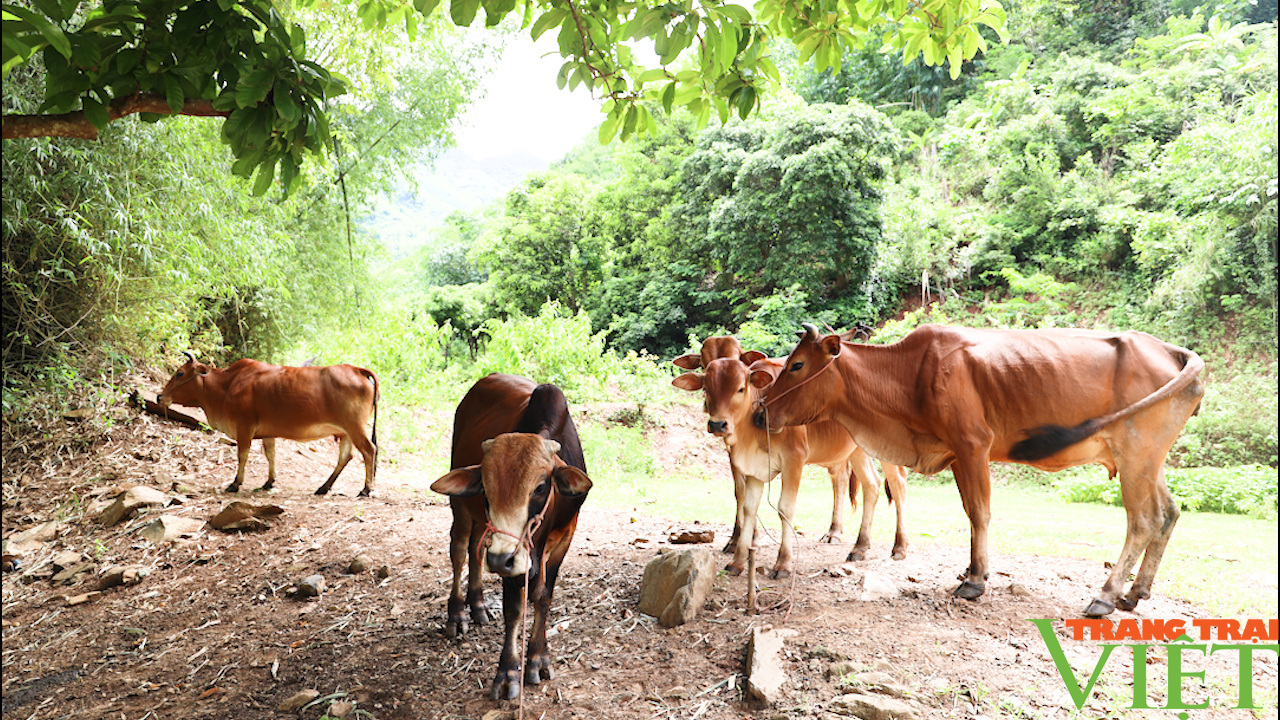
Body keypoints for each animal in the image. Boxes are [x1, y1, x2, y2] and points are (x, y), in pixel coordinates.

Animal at [156, 351, 376, 491]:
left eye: (180, 373)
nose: (159, 397)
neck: (227, 385)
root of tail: (357, 370)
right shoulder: (268, 433)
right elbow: (271, 455)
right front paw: (269, 481)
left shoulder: (244, 427)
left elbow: (243, 455)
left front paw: (235, 483)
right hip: (346, 432)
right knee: (346, 456)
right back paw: (324, 487)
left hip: (355, 428)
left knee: (369, 450)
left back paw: (366, 488)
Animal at [427, 371, 591, 696]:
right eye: (486, 489)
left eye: (540, 487)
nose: (500, 559)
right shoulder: (513, 562)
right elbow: (514, 609)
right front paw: (508, 672)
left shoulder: (565, 537)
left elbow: (544, 598)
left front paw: (538, 658)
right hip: (461, 508)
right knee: (460, 549)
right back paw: (458, 614)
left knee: (476, 549)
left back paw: (478, 604)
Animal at [670, 353, 911, 576]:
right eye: (706, 389)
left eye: (740, 388)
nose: (718, 424)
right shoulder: (754, 469)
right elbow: (749, 508)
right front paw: (737, 562)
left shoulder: (794, 460)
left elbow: (785, 508)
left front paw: (783, 563)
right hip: (857, 450)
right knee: (872, 485)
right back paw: (860, 547)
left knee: (898, 484)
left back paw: (899, 547)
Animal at [747, 322, 1198, 614]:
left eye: (797, 365)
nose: (759, 413)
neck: (911, 374)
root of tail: (1174, 351)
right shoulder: (957, 456)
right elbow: (969, 513)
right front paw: (969, 568)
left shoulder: (973, 447)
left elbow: (980, 512)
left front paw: (976, 580)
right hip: (1150, 461)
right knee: (1169, 514)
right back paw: (1135, 593)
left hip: (1136, 455)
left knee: (1143, 520)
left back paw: (1106, 595)